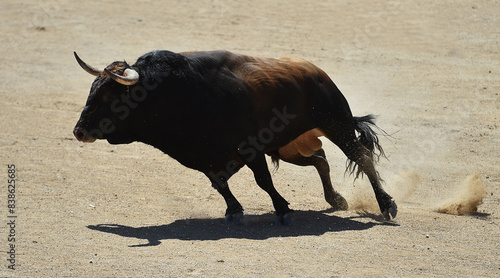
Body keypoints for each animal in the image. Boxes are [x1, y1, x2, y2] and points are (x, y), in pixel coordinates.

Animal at [72, 50, 396, 224]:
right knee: (320, 159)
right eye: (91, 90)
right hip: (289, 147)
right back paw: (335, 199)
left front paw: (282, 209)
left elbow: (263, 180)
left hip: (336, 124)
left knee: (361, 157)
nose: (79, 131)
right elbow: (219, 184)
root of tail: (317, 73)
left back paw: (386, 205)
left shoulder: (250, 148)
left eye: (109, 96)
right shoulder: (206, 155)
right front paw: (234, 211)